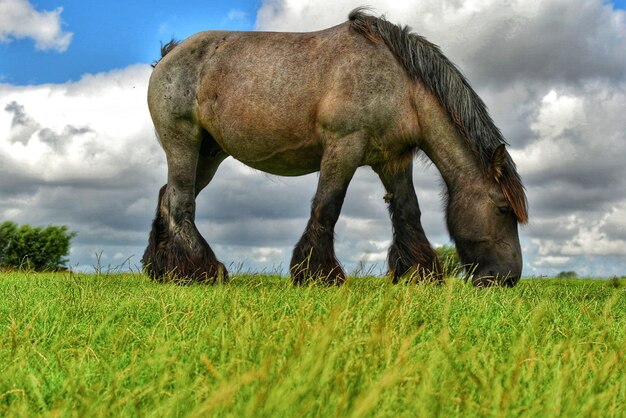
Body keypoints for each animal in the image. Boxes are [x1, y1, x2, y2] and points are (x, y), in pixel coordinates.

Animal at [141, 7, 528, 288]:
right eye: (502, 208)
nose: (507, 278)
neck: (400, 85)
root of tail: (170, 54)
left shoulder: (393, 159)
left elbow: (408, 212)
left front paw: (419, 273)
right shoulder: (344, 146)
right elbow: (327, 206)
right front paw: (318, 274)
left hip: (208, 155)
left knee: (166, 197)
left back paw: (162, 269)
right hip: (184, 143)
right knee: (181, 201)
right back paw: (200, 271)